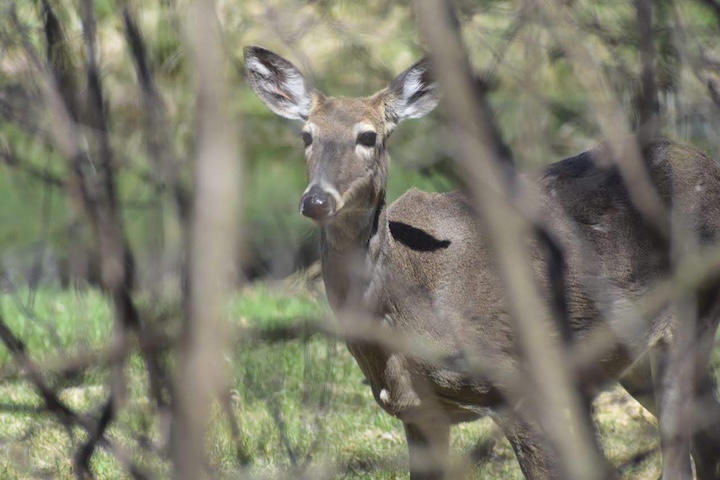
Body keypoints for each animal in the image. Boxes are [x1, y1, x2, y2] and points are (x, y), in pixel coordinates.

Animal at [243, 45, 720, 479]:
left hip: (690, 310)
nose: (316, 200)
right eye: (306, 135)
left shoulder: (518, 384)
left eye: (368, 136)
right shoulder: (418, 412)